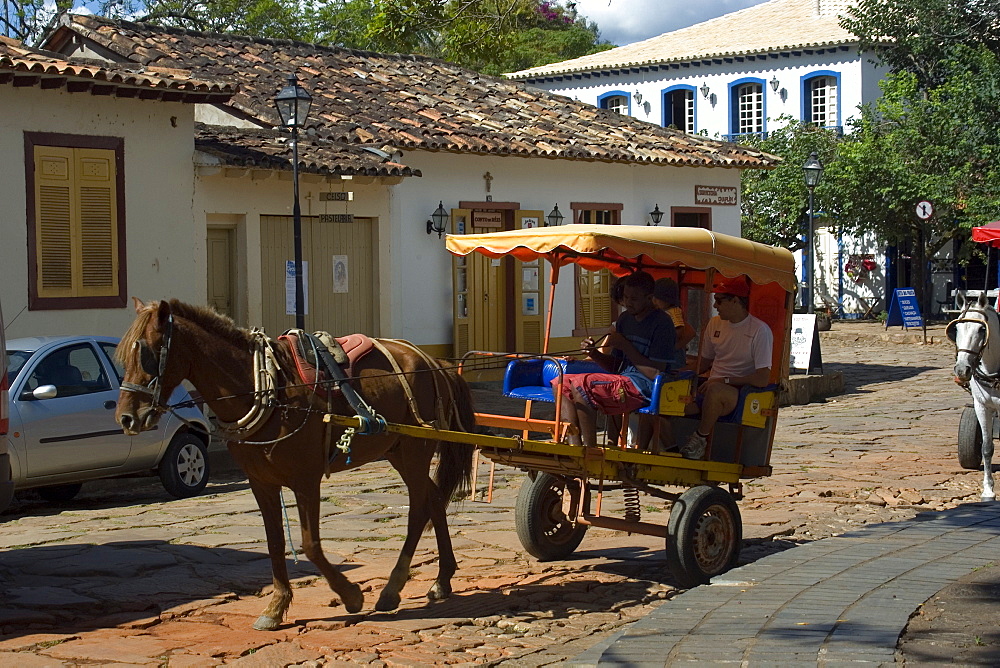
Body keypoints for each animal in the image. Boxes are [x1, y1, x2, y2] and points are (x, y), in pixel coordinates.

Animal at [115, 300, 474, 628]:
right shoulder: (260, 482)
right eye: (122, 358)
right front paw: (275, 607)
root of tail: (435, 362)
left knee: (418, 512)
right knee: (434, 499)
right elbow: (275, 543)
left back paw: (391, 589)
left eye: (147, 353)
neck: (266, 388)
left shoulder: (306, 478)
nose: (127, 417)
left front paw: (350, 596)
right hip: (397, 451)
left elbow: (310, 545)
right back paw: (442, 580)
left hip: (414, 451)